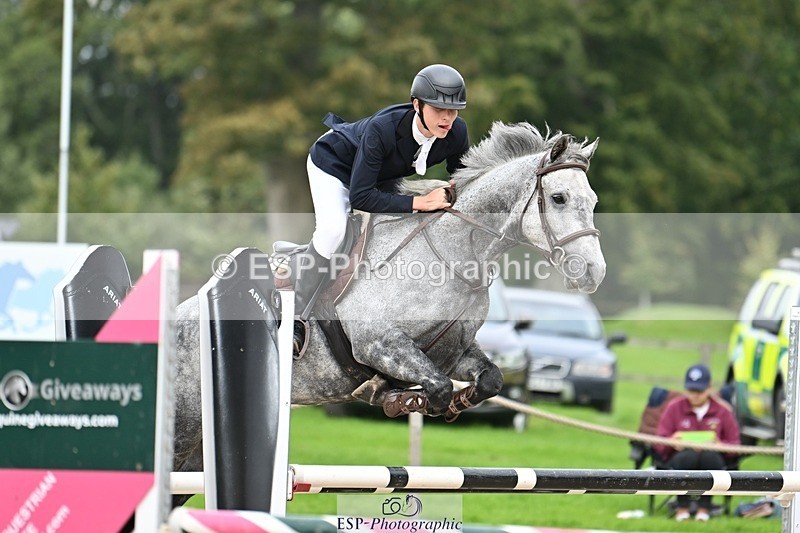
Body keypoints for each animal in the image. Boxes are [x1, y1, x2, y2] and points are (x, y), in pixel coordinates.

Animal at [172, 122, 606, 473]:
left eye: (594, 202)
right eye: (559, 198)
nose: (593, 272)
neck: (452, 257)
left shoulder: (454, 351)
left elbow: (490, 380)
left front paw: (450, 403)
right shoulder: (378, 343)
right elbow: (435, 386)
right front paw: (399, 399)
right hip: (183, 424)